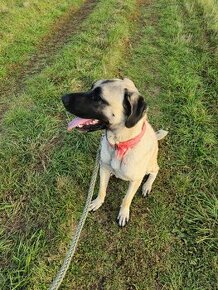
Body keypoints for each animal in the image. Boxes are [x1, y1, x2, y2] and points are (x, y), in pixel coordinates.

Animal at [62, 77, 168, 227]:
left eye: (98, 98)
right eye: (91, 88)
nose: (63, 98)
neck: (119, 145)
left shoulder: (135, 180)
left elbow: (127, 199)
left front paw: (123, 213)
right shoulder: (103, 169)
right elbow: (102, 189)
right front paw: (97, 202)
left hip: (150, 166)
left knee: (155, 170)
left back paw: (147, 185)